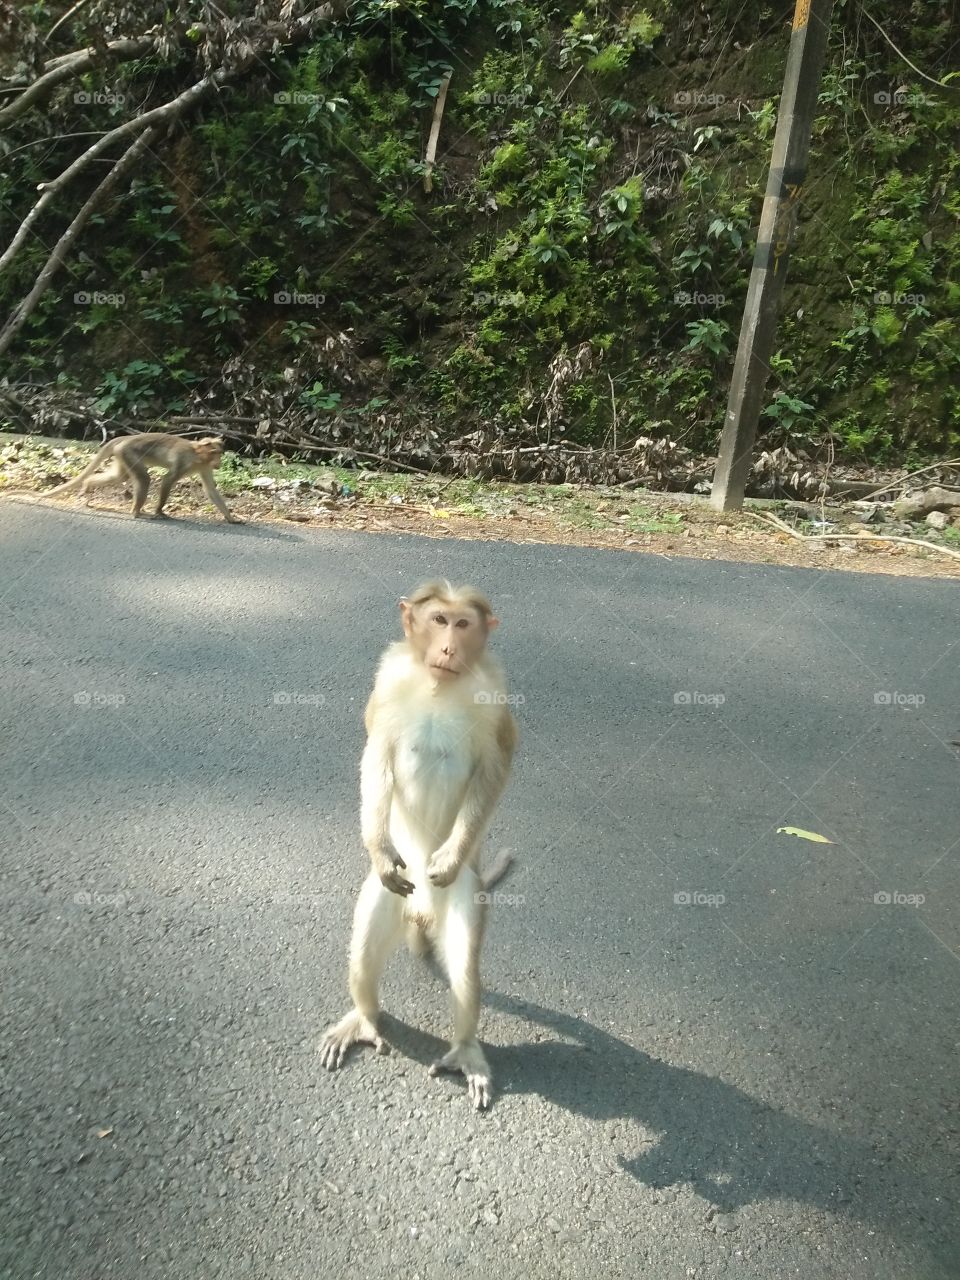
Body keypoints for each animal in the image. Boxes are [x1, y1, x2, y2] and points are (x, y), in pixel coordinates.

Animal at [41, 433, 243, 522]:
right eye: (215, 453)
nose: (219, 462)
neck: (198, 457)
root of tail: (126, 437)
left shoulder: (205, 467)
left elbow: (210, 490)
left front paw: (231, 518)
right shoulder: (183, 460)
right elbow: (168, 480)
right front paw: (159, 511)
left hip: (121, 455)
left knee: (119, 476)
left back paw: (87, 484)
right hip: (128, 452)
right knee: (144, 479)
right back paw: (136, 511)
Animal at [319, 580, 518, 1109]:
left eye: (463, 623)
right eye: (438, 620)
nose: (447, 648)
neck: (438, 686)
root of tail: (422, 914)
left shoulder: (495, 694)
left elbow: (494, 771)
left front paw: (448, 855)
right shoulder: (388, 681)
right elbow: (375, 758)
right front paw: (378, 844)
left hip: (466, 897)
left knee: (465, 972)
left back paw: (465, 1049)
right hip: (387, 897)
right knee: (365, 951)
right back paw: (364, 1017)